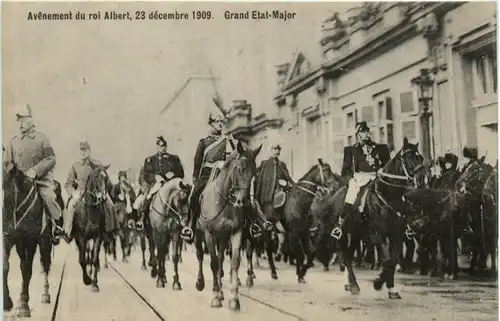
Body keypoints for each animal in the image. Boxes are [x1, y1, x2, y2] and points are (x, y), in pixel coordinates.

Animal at [2, 164, 55, 316]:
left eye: (7, 191)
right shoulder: (7, 239)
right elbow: (5, 267)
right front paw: (7, 302)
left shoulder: (30, 241)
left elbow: (27, 269)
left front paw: (24, 305)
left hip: (45, 242)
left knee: (45, 264)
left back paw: (45, 294)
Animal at [71, 162, 111, 290]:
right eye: (95, 177)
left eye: (106, 178)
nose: (102, 198)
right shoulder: (81, 238)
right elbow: (82, 260)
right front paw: (86, 280)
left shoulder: (98, 237)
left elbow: (94, 258)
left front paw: (94, 284)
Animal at [193, 141, 262, 308]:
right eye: (240, 168)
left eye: (254, 173)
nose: (244, 202)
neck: (223, 201)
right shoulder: (209, 234)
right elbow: (212, 263)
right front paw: (215, 297)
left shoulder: (235, 232)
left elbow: (234, 263)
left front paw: (234, 299)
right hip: (199, 234)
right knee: (200, 255)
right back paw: (201, 283)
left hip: (223, 237)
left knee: (221, 259)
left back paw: (221, 291)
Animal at [326, 137, 428, 298]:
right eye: (408, 157)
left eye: (420, 157)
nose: (423, 179)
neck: (388, 195)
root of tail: (333, 196)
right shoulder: (377, 234)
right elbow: (386, 260)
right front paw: (378, 283)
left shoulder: (396, 234)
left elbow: (393, 260)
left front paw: (390, 287)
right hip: (343, 234)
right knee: (346, 256)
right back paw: (352, 284)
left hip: (356, 234)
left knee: (349, 253)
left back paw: (350, 284)